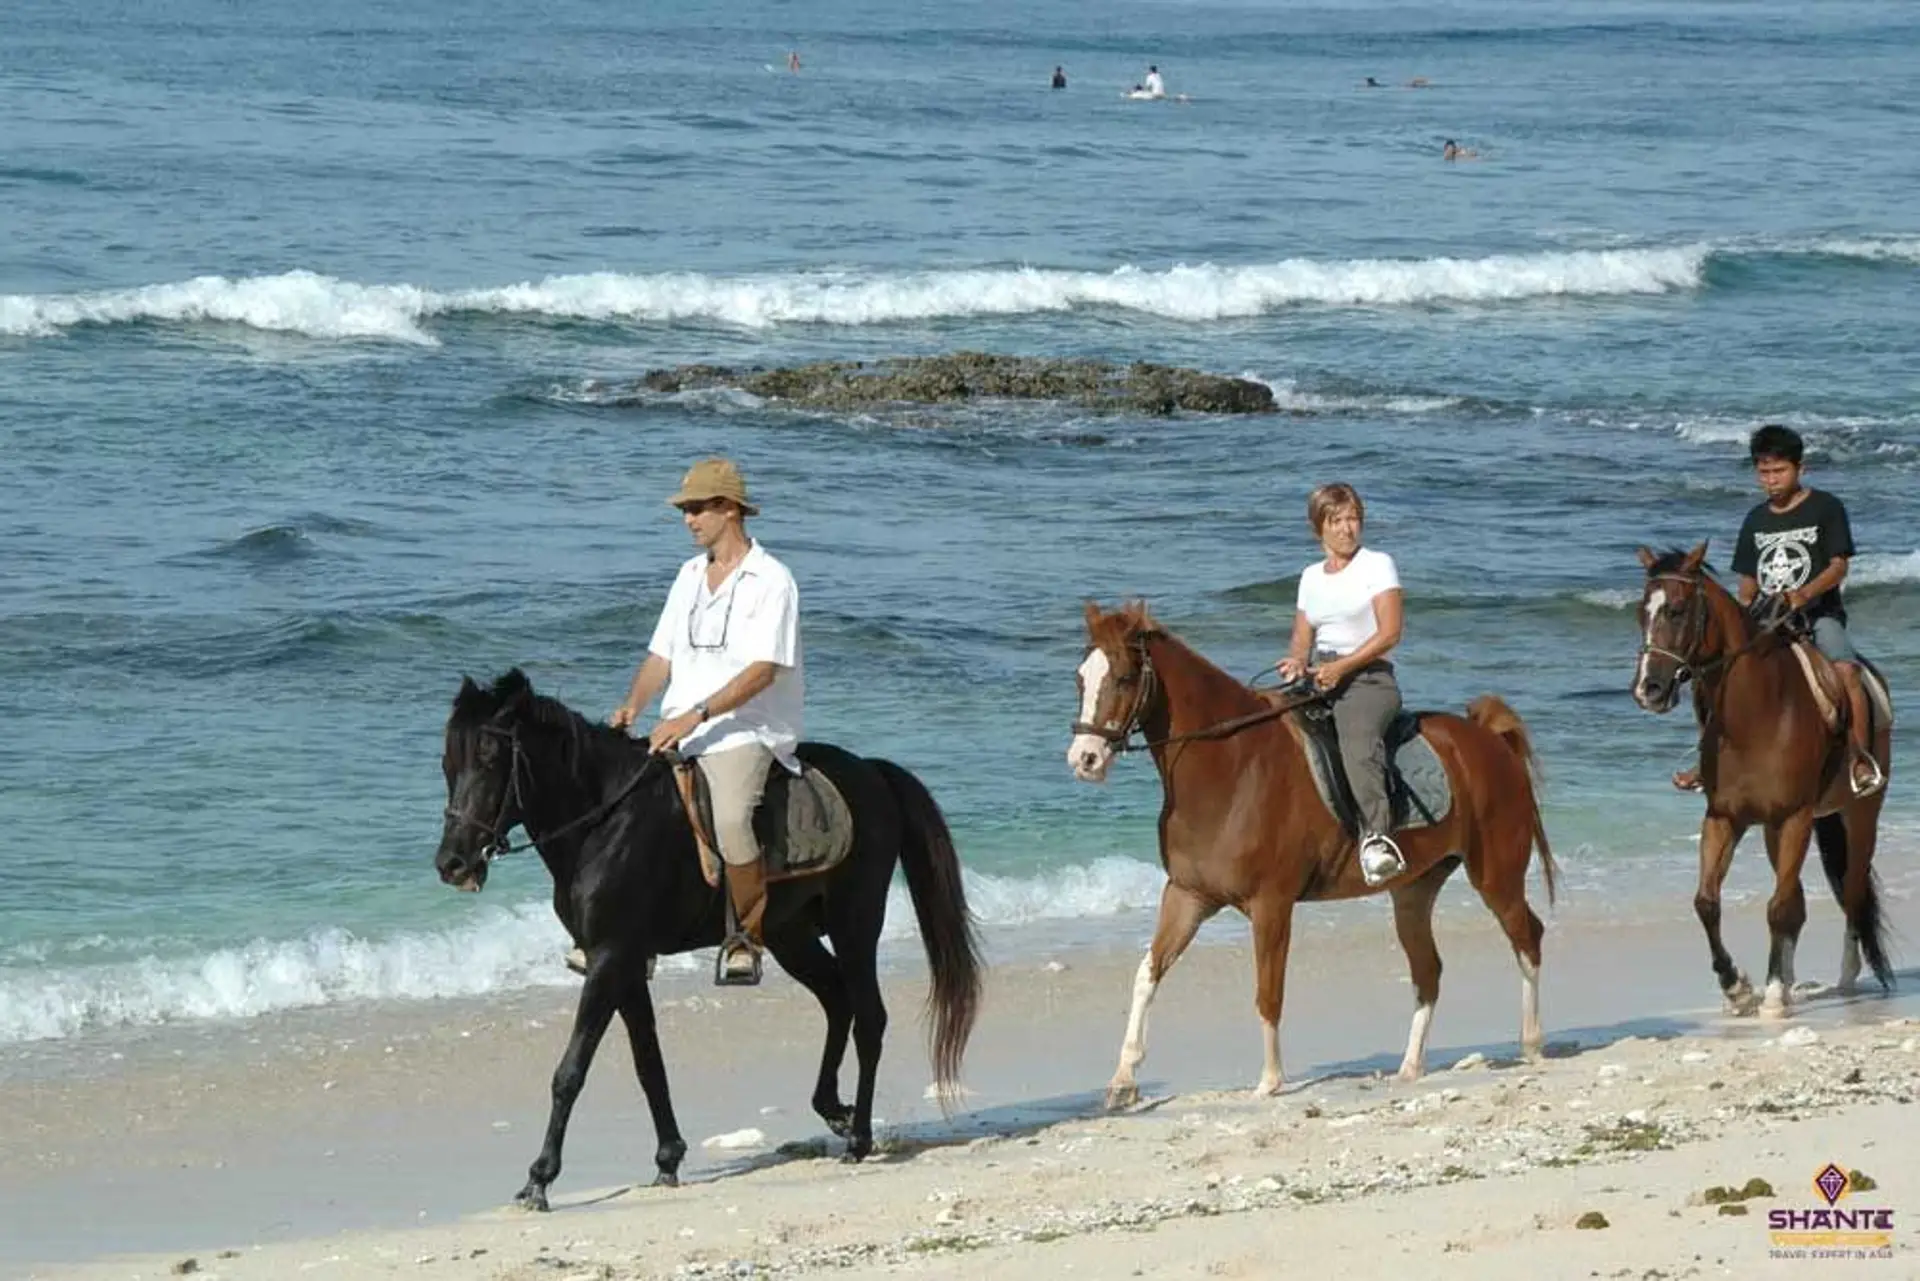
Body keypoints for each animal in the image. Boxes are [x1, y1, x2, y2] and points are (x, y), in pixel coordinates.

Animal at [433, 669, 983, 1209]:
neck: (604, 824)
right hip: (791, 936)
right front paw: (668, 1158)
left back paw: (859, 1139)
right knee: (837, 1001)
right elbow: (648, 1062)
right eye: (447, 761)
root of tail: (872, 773)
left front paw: (539, 1179)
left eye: (490, 758)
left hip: (856, 923)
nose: (452, 865)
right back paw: (835, 1111)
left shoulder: (610, 958)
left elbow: (571, 1071)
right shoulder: (625, 962)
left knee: (869, 1017)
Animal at [1066, 601, 1559, 1107]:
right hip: (1413, 892)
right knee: (1429, 970)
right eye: (1081, 679)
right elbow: (1147, 974)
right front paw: (1123, 1079)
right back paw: (1409, 1067)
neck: (1231, 766)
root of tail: (1489, 741)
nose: (1084, 759)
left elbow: (1268, 991)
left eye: (1124, 677)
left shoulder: (1271, 904)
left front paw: (1269, 1080)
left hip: (1496, 875)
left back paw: (1531, 1043)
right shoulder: (1188, 895)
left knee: (1527, 938)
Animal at [1631, 544, 1894, 1016]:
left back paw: (1845, 978)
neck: (1754, 716)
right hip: (1776, 829)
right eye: (1642, 612)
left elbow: (1780, 907)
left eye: (1677, 611)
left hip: (1860, 814)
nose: (1649, 689)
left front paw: (1770, 995)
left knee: (1852, 891)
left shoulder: (1795, 818)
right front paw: (1737, 986)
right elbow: (1707, 902)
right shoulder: (1724, 818)